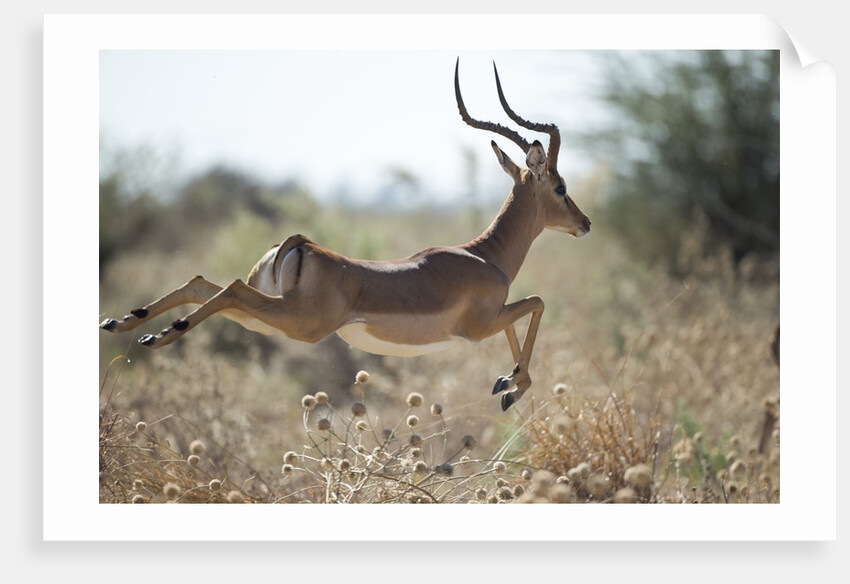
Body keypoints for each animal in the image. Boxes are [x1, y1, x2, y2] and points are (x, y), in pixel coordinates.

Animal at [99, 59, 591, 411]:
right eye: (561, 187)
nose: (584, 223)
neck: (485, 256)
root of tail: (299, 244)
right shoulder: (480, 324)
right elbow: (536, 303)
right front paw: (512, 385)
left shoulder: (492, 320)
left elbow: (523, 318)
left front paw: (507, 384)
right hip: (298, 322)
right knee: (231, 288)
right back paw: (161, 335)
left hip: (269, 314)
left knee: (203, 283)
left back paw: (127, 324)